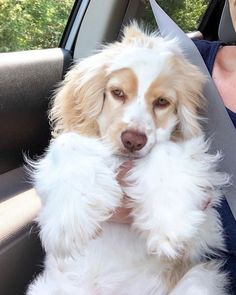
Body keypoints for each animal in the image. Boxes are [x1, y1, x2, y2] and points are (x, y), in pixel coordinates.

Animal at [26, 24, 230, 294]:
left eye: (162, 102)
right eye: (117, 93)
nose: (133, 140)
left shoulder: (206, 228)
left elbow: (164, 148)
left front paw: (170, 224)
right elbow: (68, 142)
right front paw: (68, 223)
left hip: (201, 279)